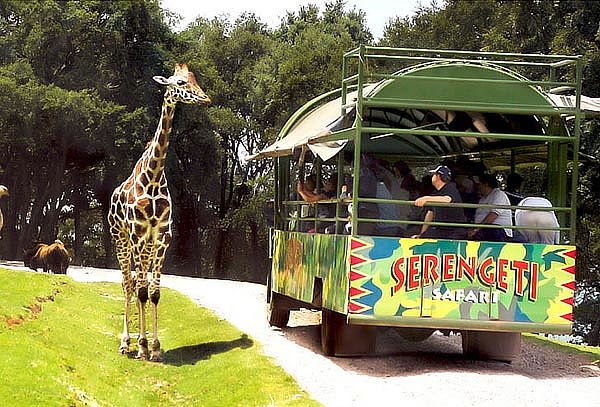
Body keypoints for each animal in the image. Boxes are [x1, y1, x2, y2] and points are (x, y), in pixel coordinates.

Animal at [108, 65, 211, 362]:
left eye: (195, 80)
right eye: (180, 83)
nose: (206, 99)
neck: (152, 177)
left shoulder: (163, 236)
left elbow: (153, 293)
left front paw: (154, 348)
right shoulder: (140, 235)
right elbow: (142, 290)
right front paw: (142, 347)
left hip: (143, 244)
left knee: (134, 283)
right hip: (121, 239)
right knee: (127, 284)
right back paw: (125, 343)